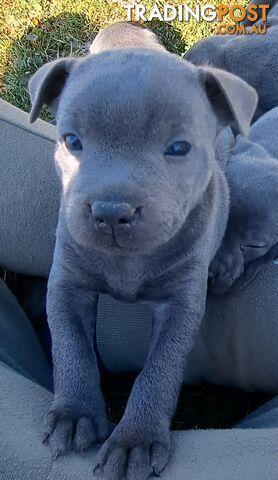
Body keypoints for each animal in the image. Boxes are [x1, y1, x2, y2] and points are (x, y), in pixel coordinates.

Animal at [28, 31, 256, 480]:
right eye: (72, 141)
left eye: (179, 147)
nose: (111, 211)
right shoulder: (66, 283)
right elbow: (70, 344)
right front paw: (74, 414)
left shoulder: (181, 303)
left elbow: (160, 369)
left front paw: (136, 440)